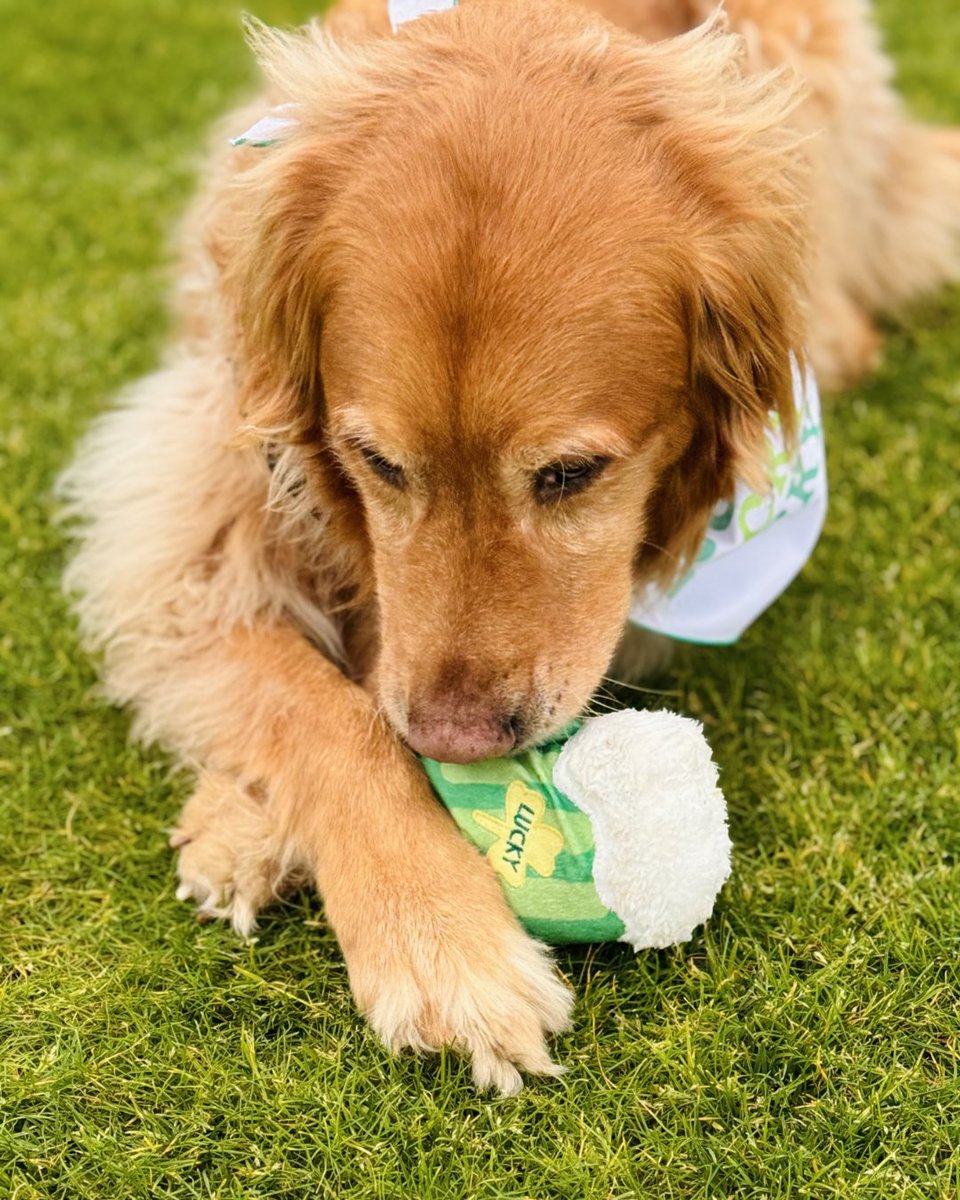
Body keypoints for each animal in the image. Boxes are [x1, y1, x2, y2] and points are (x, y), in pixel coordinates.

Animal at [61, 0, 960, 1094]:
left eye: (572, 474)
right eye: (376, 461)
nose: (456, 741)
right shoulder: (201, 478)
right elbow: (322, 702)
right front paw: (427, 930)